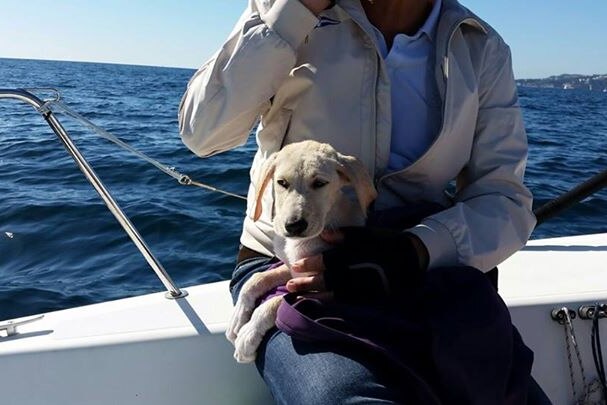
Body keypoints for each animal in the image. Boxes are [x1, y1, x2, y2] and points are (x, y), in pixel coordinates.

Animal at [227, 140, 376, 362]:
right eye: (282, 182)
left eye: (320, 183)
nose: (294, 226)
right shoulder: (293, 267)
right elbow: (256, 279)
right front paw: (237, 318)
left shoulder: (319, 287)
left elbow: (278, 301)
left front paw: (248, 334)